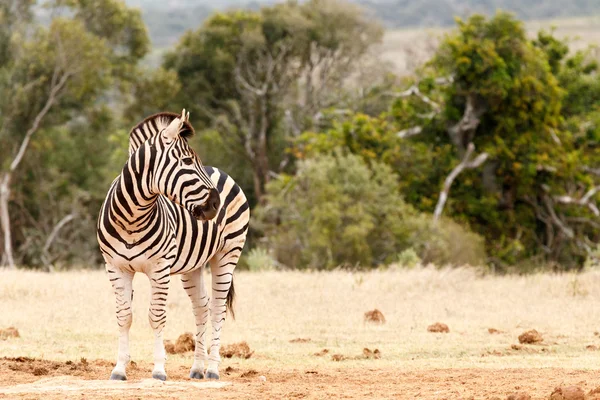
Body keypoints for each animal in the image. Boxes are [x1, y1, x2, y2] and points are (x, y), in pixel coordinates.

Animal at [97, 108, 250, 382]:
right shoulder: (115, 267)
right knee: (201, 307)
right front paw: (119, 369)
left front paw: (158, 370)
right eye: (187, 161)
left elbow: (156, 317)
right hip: (193, 265)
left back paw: (212, 369)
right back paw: (197, 368)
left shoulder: (159, 268)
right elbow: (124, 317)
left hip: (228, 254)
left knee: (217, 308)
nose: (215, 204)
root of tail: (218, 169)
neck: (132, 217)